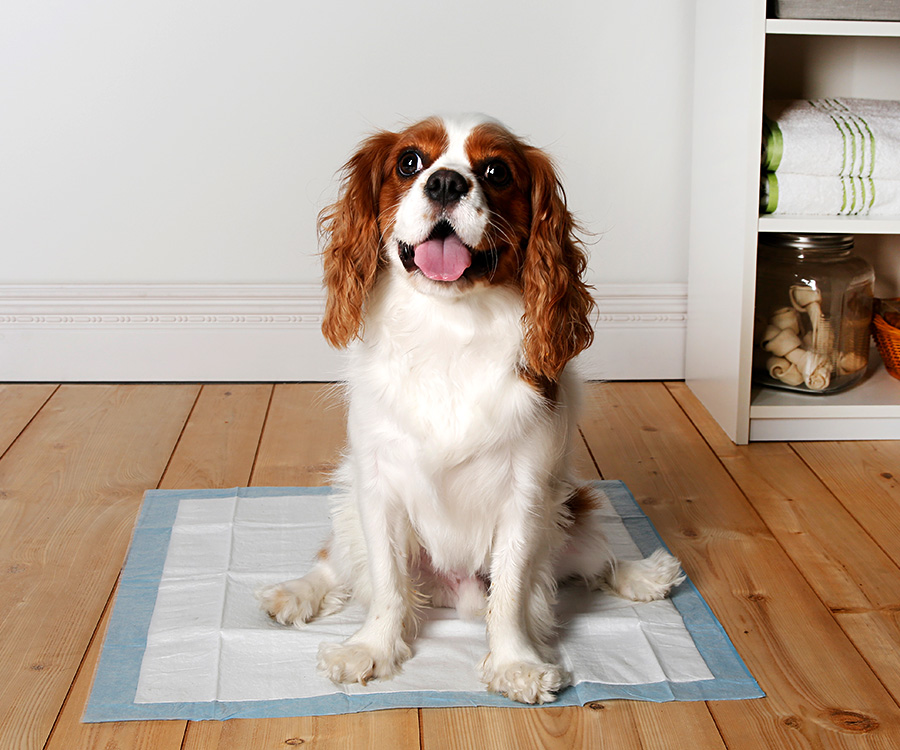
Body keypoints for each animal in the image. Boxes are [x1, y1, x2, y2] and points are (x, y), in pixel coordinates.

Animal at [258, 116, 684, 704]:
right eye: (409, 162)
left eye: (496, 171)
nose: (444, 183)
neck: (450, 324)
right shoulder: (378, 487)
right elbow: (387, 584)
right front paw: (371, 649)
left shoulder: (526, 495)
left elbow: (509, 594)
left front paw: (515, 663)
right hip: (348, 505)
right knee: (337, 562)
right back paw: (296, 593)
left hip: (571, 510)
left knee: (596, 560)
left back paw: (643, 576)